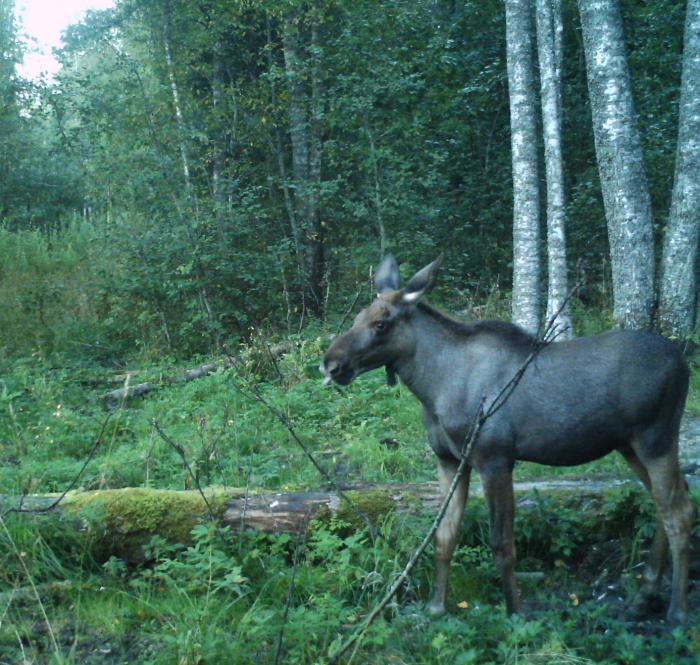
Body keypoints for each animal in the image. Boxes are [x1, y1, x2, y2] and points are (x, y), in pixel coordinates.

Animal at [322, 254, 696, 624]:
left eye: (381, 323)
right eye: (357, 317)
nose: (331, 364)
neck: (433, 389)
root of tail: (684, 364)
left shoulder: (496, 459)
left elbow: (502, 544)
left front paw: (515, 610)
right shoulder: (449, 461)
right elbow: (444, 536)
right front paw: (436, 607)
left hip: (656, 438)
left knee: (679, 511)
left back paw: (677, 610)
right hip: (629, 445)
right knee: (665, 505)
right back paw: (645, 596)